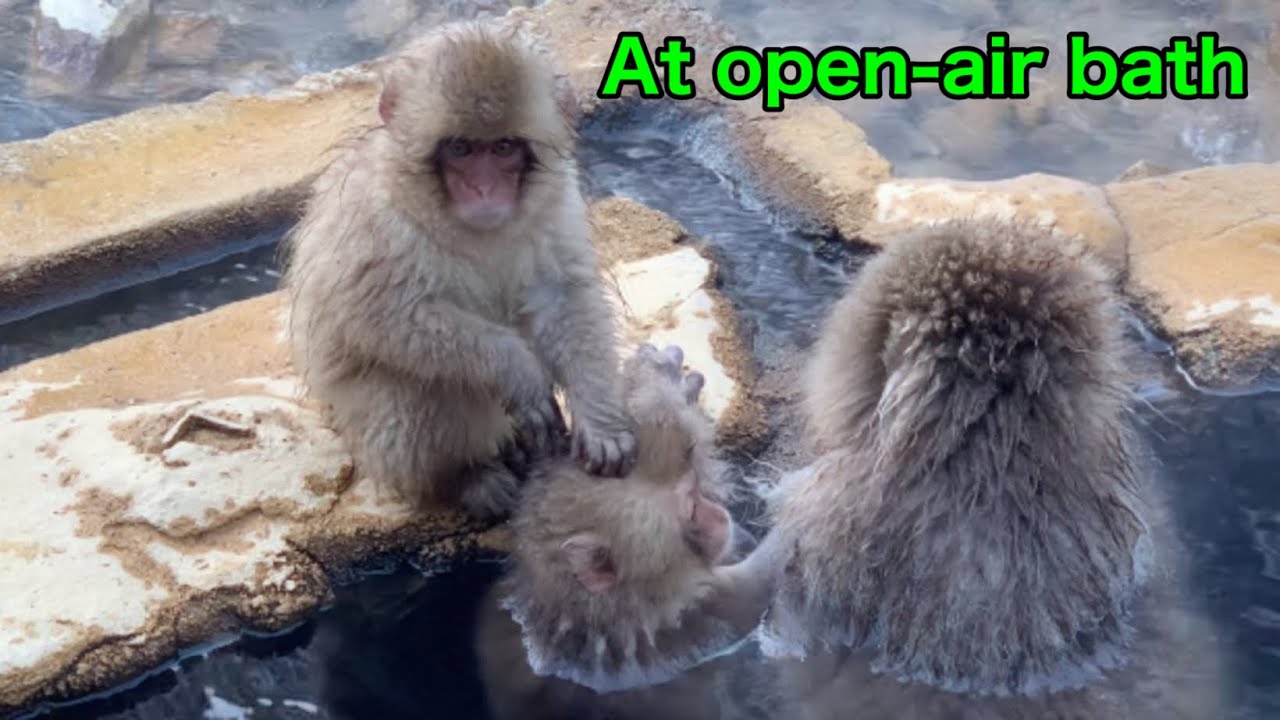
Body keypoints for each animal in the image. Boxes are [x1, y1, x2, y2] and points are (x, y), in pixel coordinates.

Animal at [280, 21, 636, 520]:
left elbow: (563, 294)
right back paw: (465, 477)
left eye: (503, 147)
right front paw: (516, 370)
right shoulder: (375, 218)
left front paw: (600, 420)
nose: (484, 190)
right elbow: (380, 314)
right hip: (365, 431)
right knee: (415, 389)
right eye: (461, 148)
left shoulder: (558, 200)